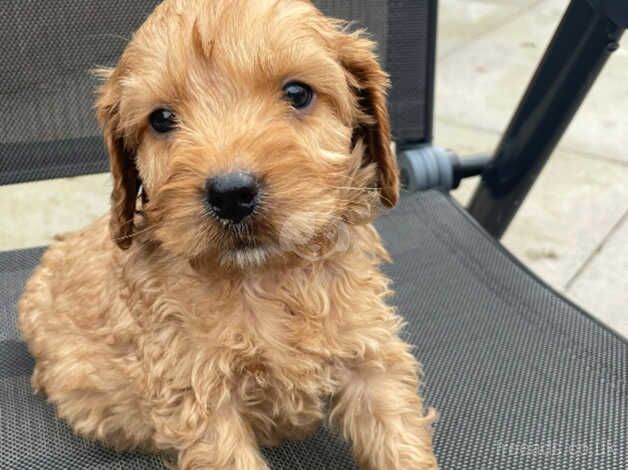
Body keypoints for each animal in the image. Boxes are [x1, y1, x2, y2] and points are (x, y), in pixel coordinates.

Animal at [17, 0, 436, 470]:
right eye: (162, 119)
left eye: (297, 93)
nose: (231, 194)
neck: (268, 277)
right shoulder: (198, 398)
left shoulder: (369, 354)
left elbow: (398, 437)